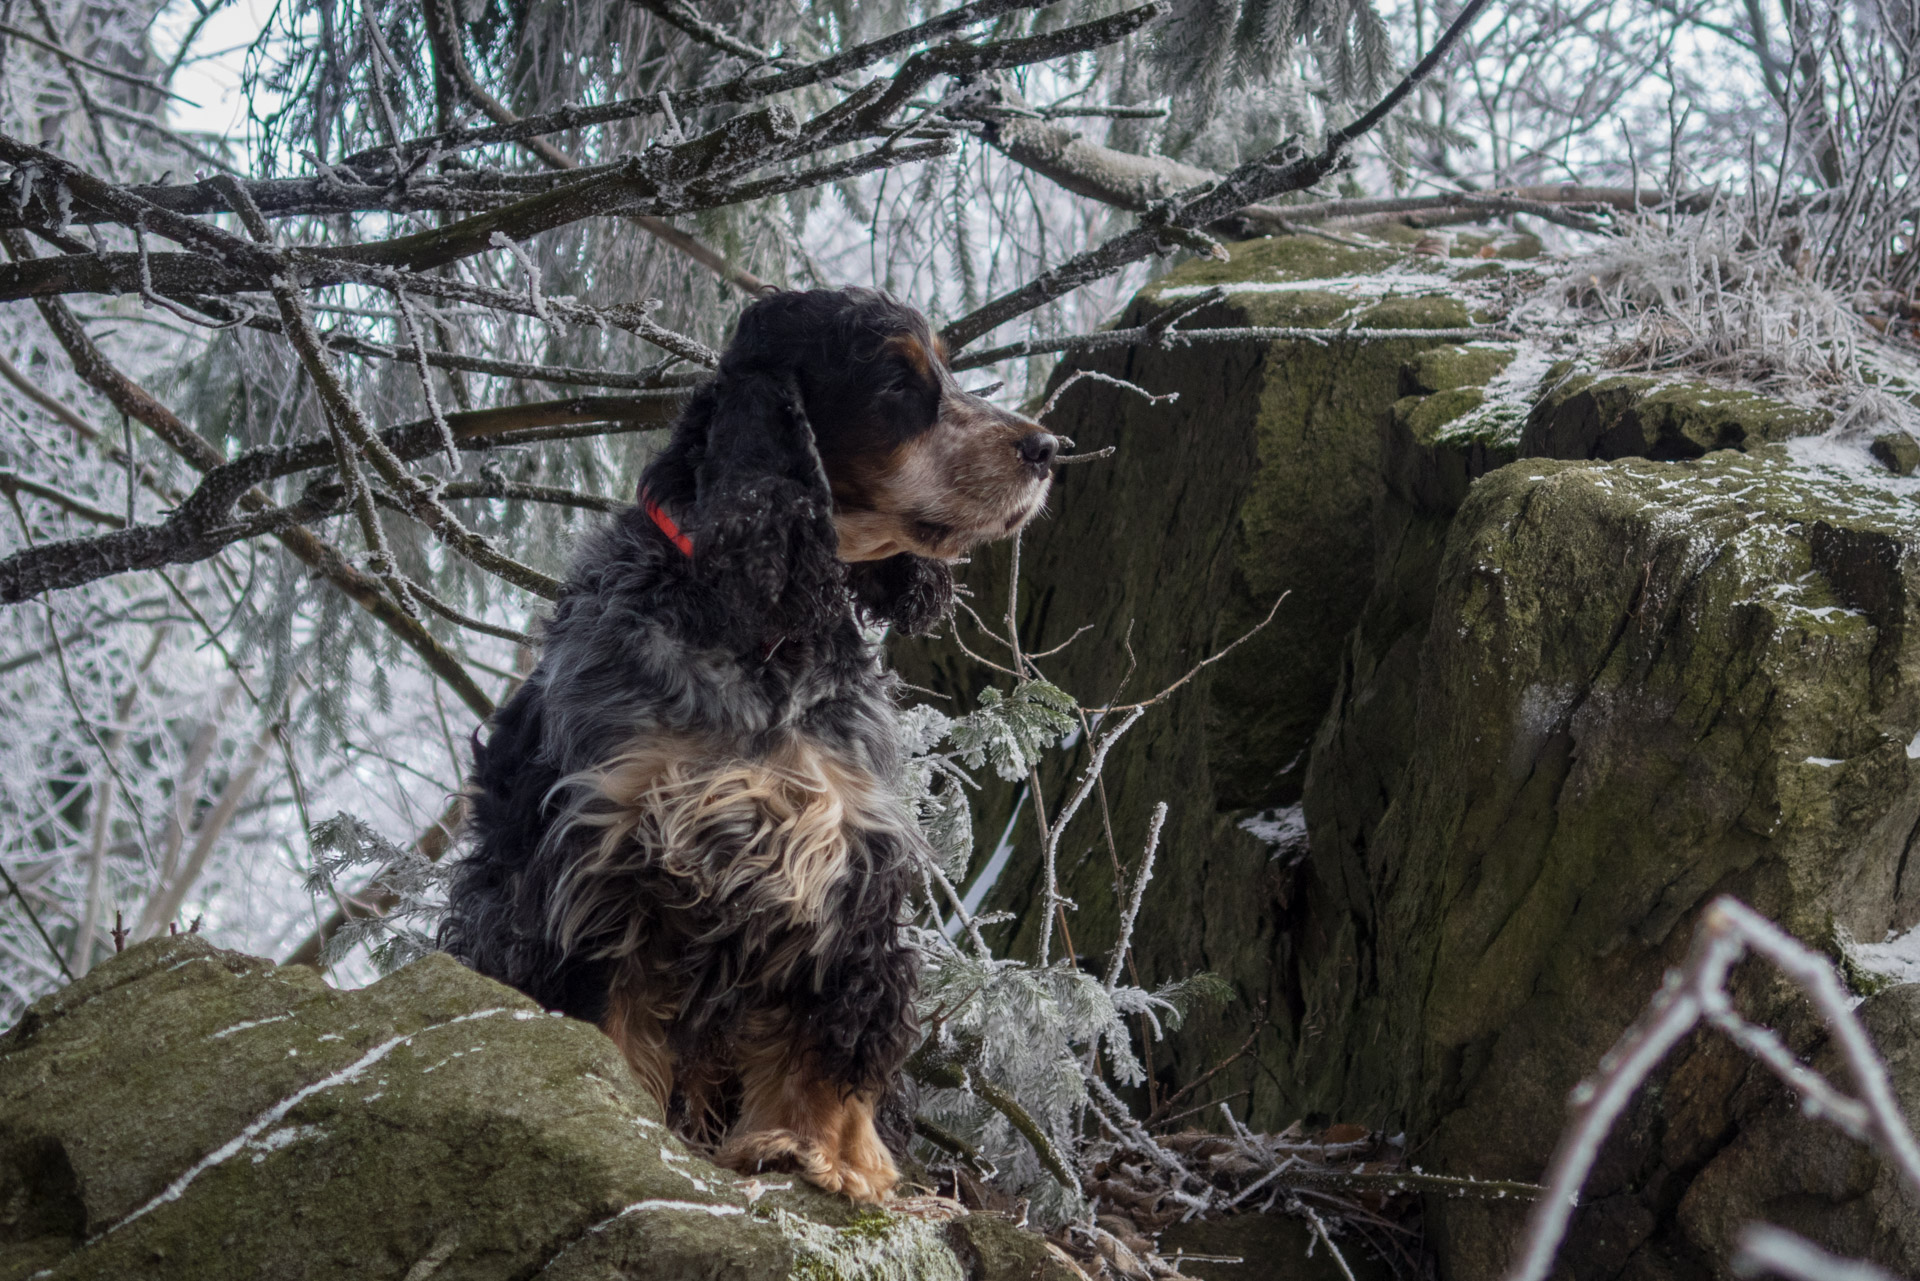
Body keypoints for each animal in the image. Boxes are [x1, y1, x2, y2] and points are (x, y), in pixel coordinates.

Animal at [439, 288, 1059, 1206]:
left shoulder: (844, 858)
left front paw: (827, 1153)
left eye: (945, 371)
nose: (1047, 448)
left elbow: (831, 1035)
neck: (763, 632)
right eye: (897, 383)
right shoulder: (606, 854)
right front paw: (619, 1111)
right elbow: (606, 1010)